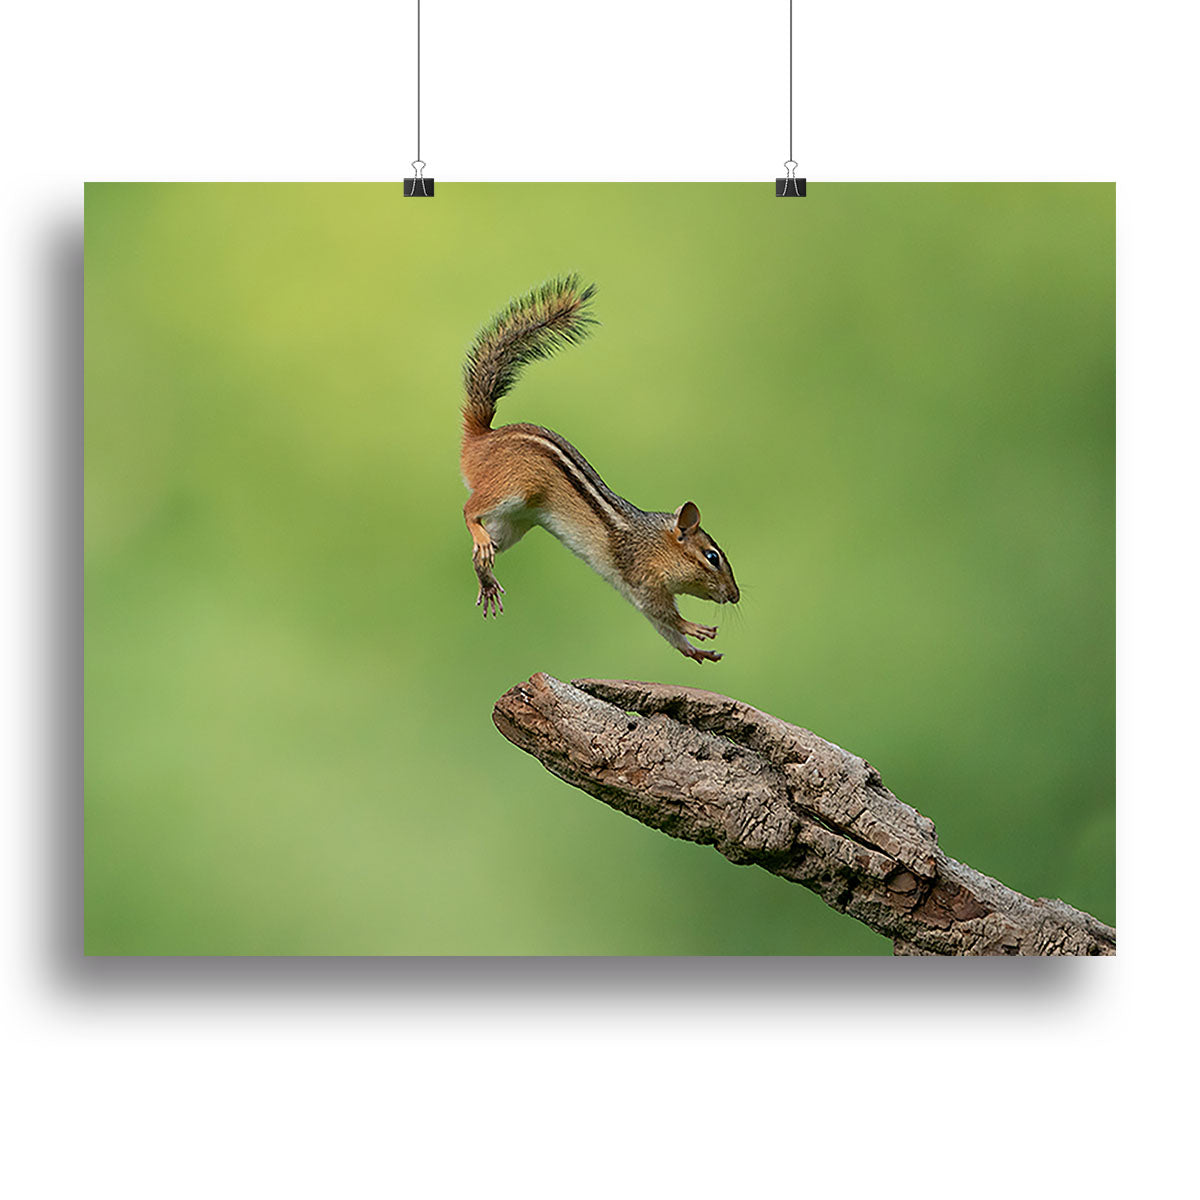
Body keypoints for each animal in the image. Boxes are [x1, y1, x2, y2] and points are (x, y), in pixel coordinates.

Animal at [460, 276, 739, 663]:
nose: (735, 596)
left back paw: (486, 578)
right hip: (511, 488)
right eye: (712, 557)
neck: (655, 541)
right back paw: (477, 531)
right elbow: (664, 613)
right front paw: (694, 629)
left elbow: (662, 626)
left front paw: (695, 651)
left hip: (514, 523)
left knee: (480, 553)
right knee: (469, 510)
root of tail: (482, 437)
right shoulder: (643, 578)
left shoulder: (637, 591)